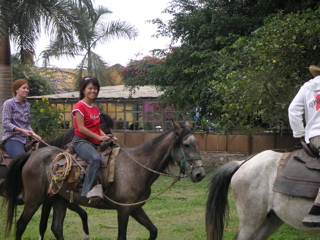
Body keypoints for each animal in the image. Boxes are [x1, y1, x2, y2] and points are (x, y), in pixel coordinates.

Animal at [3, 122, 206, 240]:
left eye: (197, 144)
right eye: (186, 145)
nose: (200, 174)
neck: (137, 167)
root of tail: (32, 155)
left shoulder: (135, 209)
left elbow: (153, 231)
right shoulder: (123, 211)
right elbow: (122, 237)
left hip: (58, 200)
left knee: (56, 228)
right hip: (34, 200)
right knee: (21, 226)